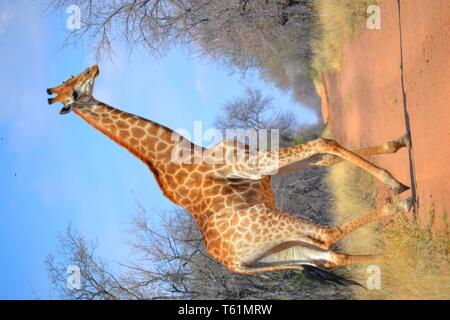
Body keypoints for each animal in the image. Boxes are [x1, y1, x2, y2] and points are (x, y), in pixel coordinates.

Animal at [46, 65, 412, 276]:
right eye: (75, 88)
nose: (95, 65)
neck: (187, 152)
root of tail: (234, 264)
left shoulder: (260, 171)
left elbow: (327, 157)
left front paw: (401, 141)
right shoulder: (255, 165)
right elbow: (326, 143)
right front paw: (396, 183)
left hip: (280, 251)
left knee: (329, 258)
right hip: (271, 223)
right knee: (327, 236)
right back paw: (400, 207)